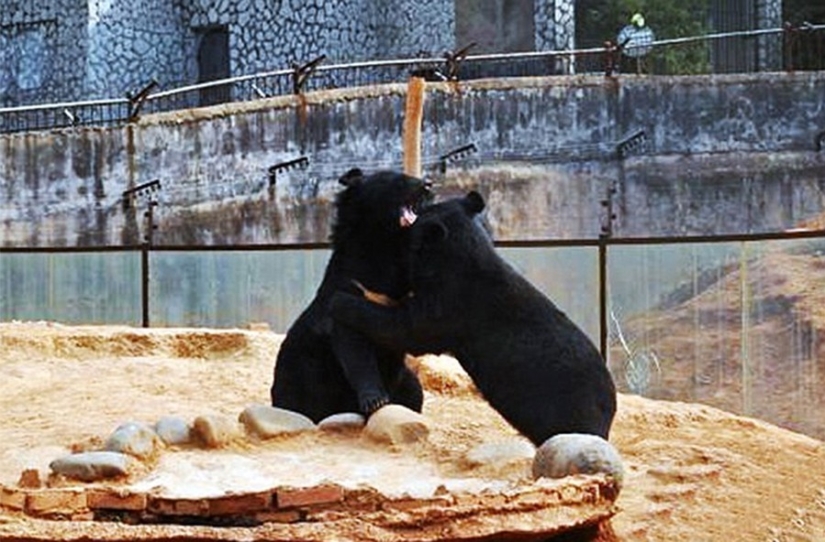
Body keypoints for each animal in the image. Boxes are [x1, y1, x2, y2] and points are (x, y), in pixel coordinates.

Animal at [270, 168, 432, 423]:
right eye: (398, 180)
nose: (428, 184)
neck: (385, 245)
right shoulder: (348, 290)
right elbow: (353, 347)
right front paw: (376, 401)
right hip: (302, 375)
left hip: (405, 381)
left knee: (414, 391)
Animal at [330, 191, 618, 446]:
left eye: (417, 217)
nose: (409, 211)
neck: (459, 255)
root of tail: (609, 410)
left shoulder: (452, 305)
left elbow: (409, 329)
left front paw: (341, 301)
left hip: (565, 406)